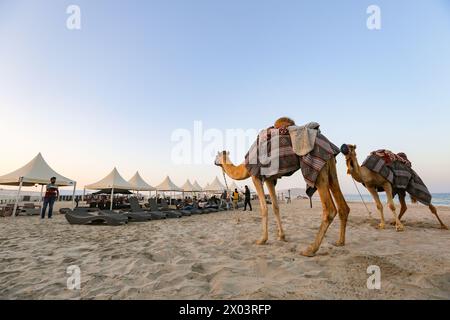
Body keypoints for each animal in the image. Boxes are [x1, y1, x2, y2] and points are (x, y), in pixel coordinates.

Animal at [215, 117, 352, 258]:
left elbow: (264, 208)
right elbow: (275, 207)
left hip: (317, 167)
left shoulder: (256, 176)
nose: (215, 161)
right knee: (343, 206)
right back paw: (339, 242)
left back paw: (310, 250)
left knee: (329, 210)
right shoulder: (270, 178)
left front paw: (262, 240)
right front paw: (281, 236)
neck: (244, 167)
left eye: (217, 156)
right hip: (330, 166)